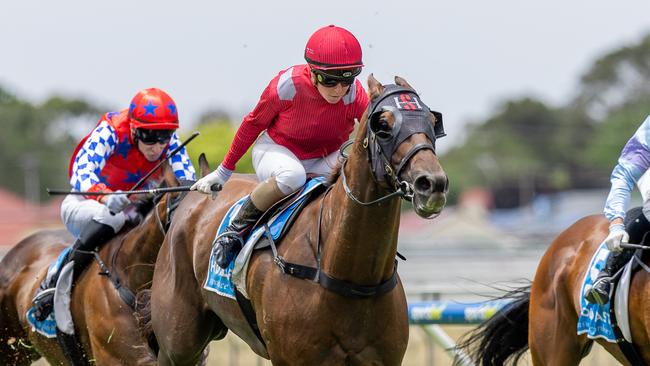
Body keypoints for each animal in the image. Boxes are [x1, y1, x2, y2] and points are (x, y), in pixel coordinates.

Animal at [146, 75, 450, 366]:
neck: (349, 274)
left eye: (433, 120)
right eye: (384, 124)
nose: (432, 183)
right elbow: (255, 121)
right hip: (177, 342)